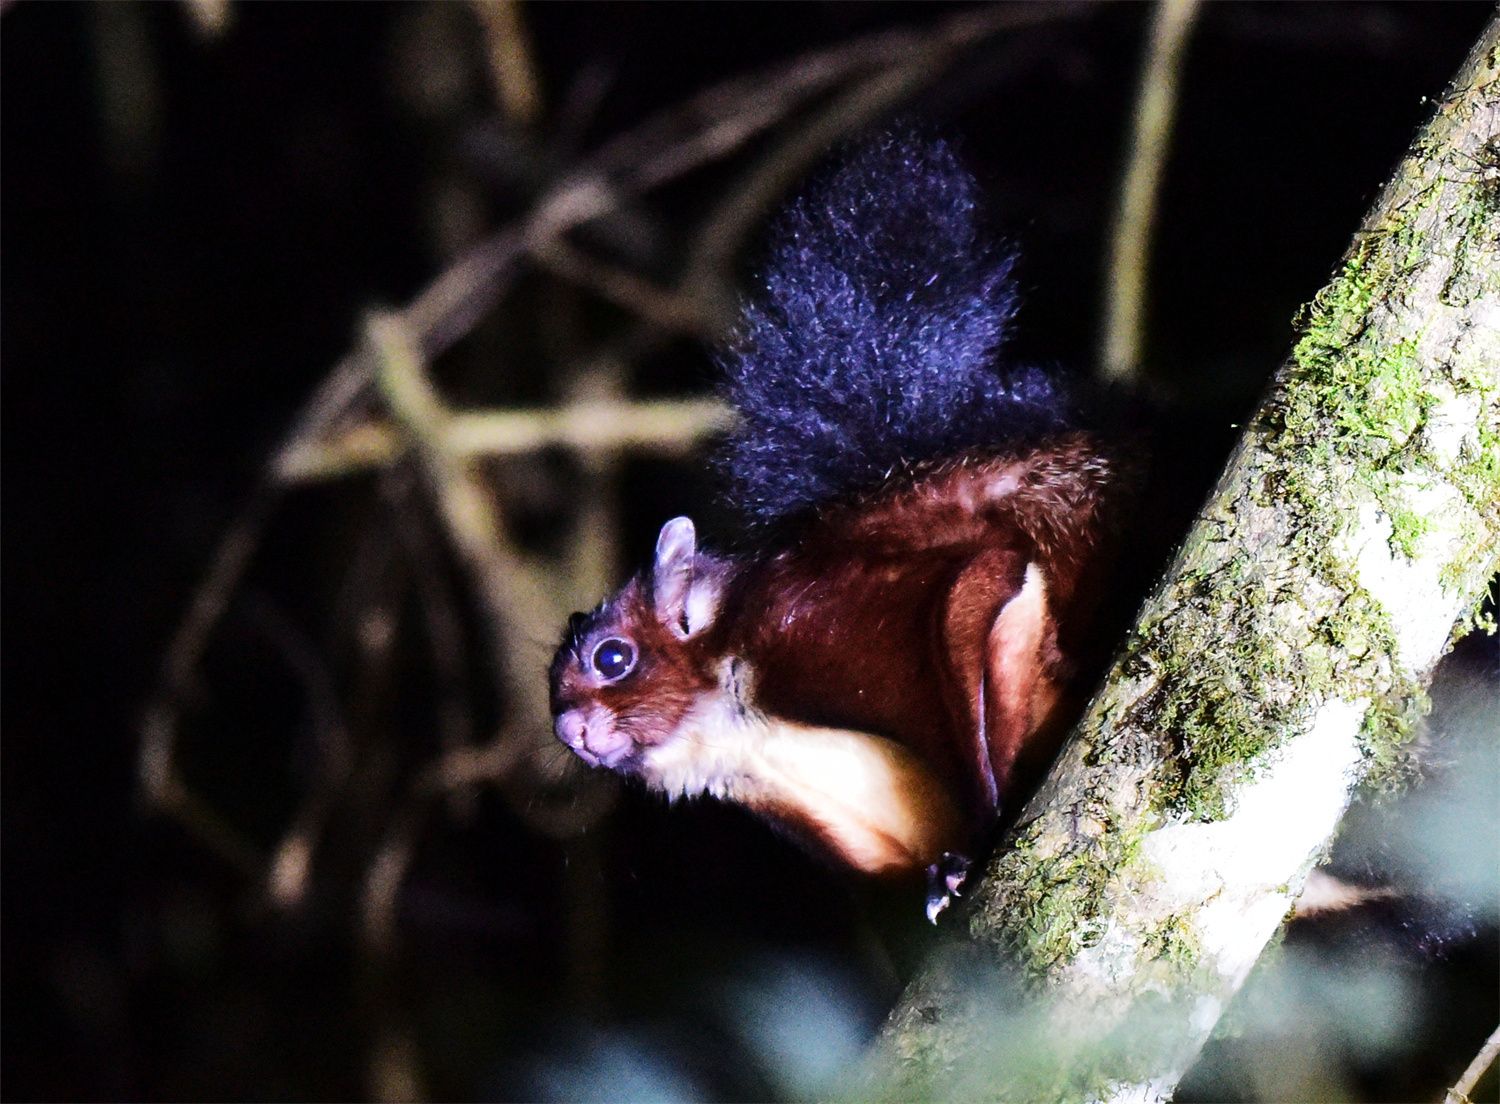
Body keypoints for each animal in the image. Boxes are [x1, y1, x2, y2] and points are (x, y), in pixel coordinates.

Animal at [549, 131, 1128, 924]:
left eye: (613, 658)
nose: (568, 731)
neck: (731, 720)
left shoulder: (813, 619)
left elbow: (978, 581)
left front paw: (978, 844)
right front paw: (938, 879)